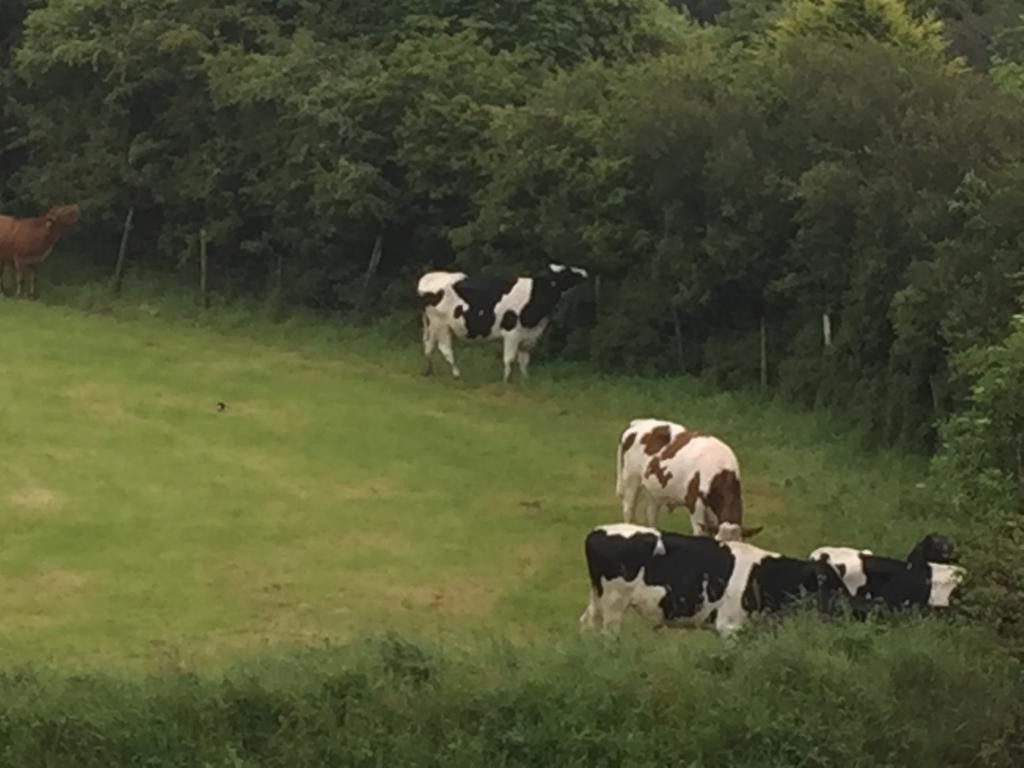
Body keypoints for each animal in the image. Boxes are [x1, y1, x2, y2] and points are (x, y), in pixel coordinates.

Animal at [415, 264, 589, 382]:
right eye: (569, 273)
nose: (585, 272)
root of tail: (429, 277)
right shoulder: (512, 333)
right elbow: (509, 359)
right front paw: (506, 381)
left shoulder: (528, 336)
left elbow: (524, 361)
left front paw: (526, 380)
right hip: (441, 324)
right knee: (444, 348)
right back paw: (457, 374)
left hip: (432, 325)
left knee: (428, 345)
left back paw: (428, 370)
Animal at [581, 524, 843, 638]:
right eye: (830, 585)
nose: (847, 612)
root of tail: (597, 531)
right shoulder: (730, 627)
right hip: (614, 603)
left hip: (597, 597)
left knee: (587, 623)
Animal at [614, 417, 761, 536]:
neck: (720, 470)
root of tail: (637, 422)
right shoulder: (695, 505)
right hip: (631, 479)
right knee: (628, 509)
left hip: (654, 490)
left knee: (651, 513)